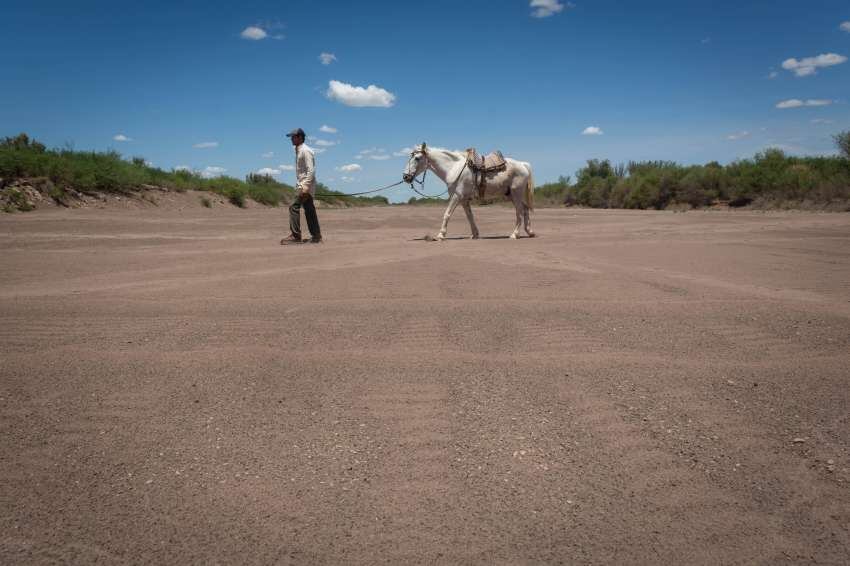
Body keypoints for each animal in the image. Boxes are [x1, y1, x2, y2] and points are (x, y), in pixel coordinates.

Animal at [400, 144, 532, 240]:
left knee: (520, 212)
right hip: (511, 195)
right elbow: (470, 217)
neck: (453, 168)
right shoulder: (464, 200)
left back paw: (514, 234)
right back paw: (529, 231)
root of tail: (523, 164)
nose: (406, 177)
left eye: (417, 158)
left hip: (516, 194)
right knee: (525, 209)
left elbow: (447, 214)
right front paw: (475, 234)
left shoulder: (456, 196)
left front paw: (441, 235)